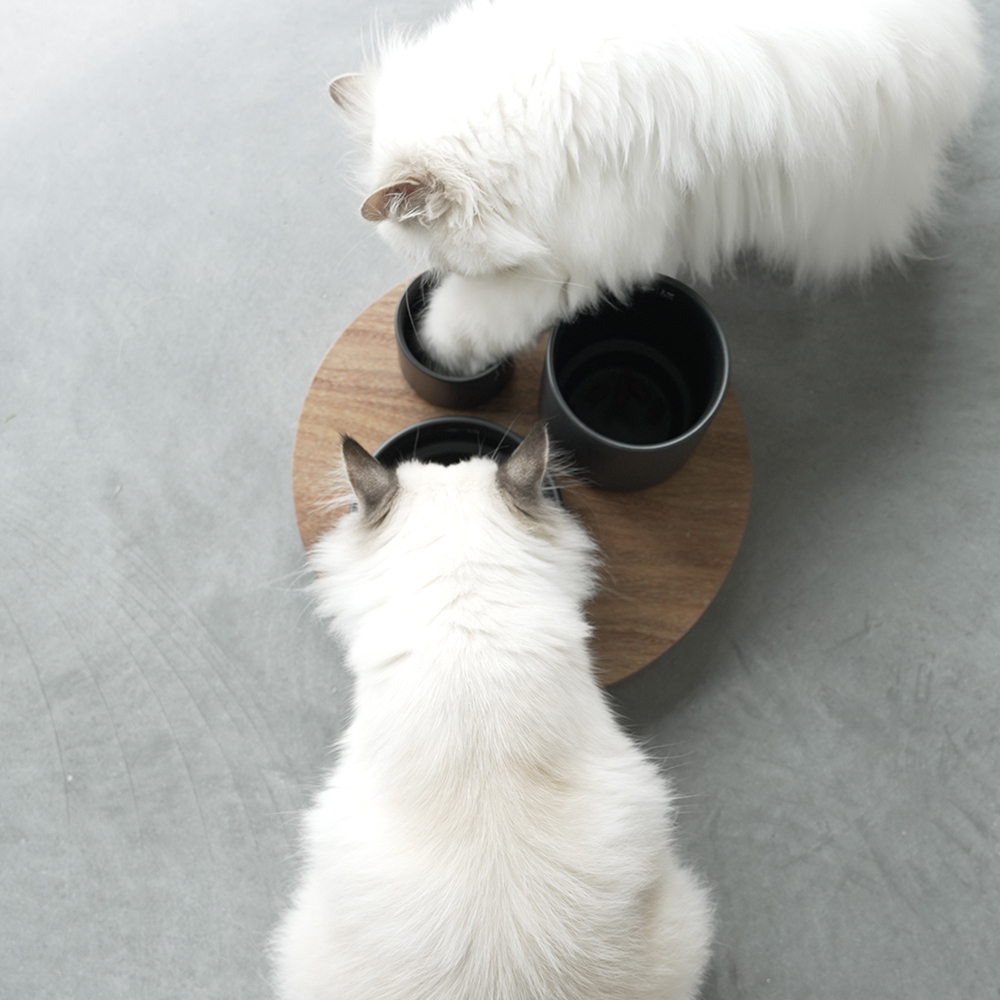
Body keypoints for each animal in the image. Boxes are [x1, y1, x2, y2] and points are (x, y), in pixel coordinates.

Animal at [330, 0, 984, 376]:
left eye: (448, 262)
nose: (440, 272)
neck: (537, 95)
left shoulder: (585, 254)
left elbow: (477, 316)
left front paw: (443, 344)